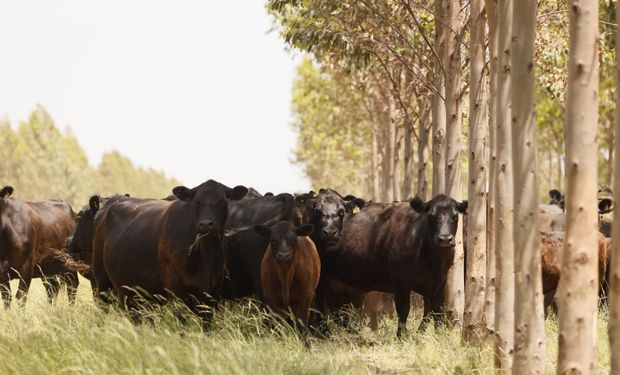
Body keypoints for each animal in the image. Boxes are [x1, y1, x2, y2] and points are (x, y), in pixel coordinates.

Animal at [320, 195, 464, 336]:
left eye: (455, 216)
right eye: (431, 216)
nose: (445, 239)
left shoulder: (439, 282)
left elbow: (437, 310)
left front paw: (439, 335)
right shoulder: (401, 282)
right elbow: (404, 309)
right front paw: (402, 336)